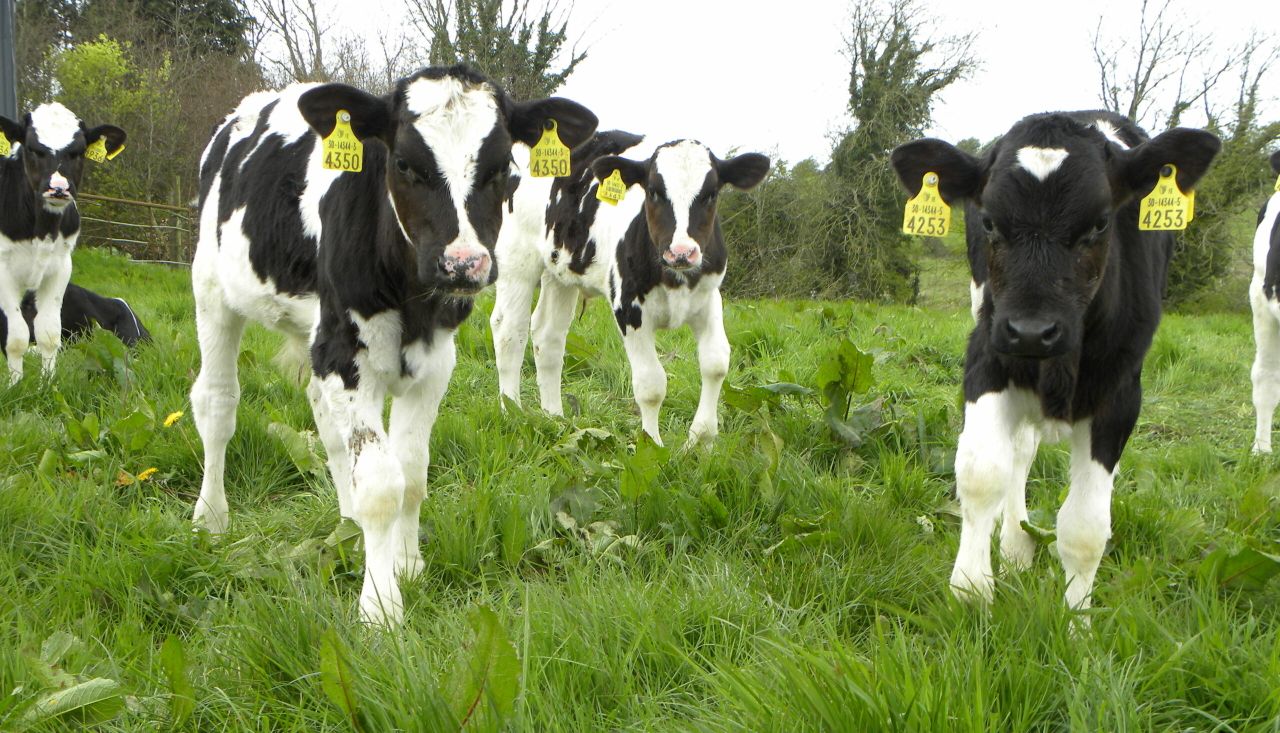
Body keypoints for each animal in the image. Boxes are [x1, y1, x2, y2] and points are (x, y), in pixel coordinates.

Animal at [0, 104, 126, 383]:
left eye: (78, 151)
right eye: (32, 148)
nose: (58, 188)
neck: (41, 231)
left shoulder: (60, 266)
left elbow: (48, 333)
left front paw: (46, 385)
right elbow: (16, 337)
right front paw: (15, 385)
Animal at [190, 65, 596, 625]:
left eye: (502, 168)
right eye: (404, 163)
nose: (462, 264)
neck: (410, 297)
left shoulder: (434, 360)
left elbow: (412, 472)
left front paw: (405, 564)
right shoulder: (344, 353)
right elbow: (383, 484)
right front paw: (380, 607)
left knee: (328, 427)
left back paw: (347, 524)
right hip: (213, 291)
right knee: (216, 405)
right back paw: (210, 517)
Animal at [489, 131, 769, 447]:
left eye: (711, 194)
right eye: (654, 191)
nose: (681, 252)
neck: (674, 278)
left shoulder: (708, 299)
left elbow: (716, 363)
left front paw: (702, 442)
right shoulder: (629, 307)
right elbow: (651, 384)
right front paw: (652, 445)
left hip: (560, 270)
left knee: (548, 336)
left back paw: (555, 418)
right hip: (516, 259)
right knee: (509, 332)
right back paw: (512, 413)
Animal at [891, 111, 1220, 614]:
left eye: (1100, 223)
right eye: (988, 221)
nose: (1030, 330)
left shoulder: (1121, 395)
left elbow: (1085, 527)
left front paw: (1076, 622)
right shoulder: (986, 355)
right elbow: (982, 473)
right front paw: (971, 593)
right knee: (1019, 452)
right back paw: (1013, 549)